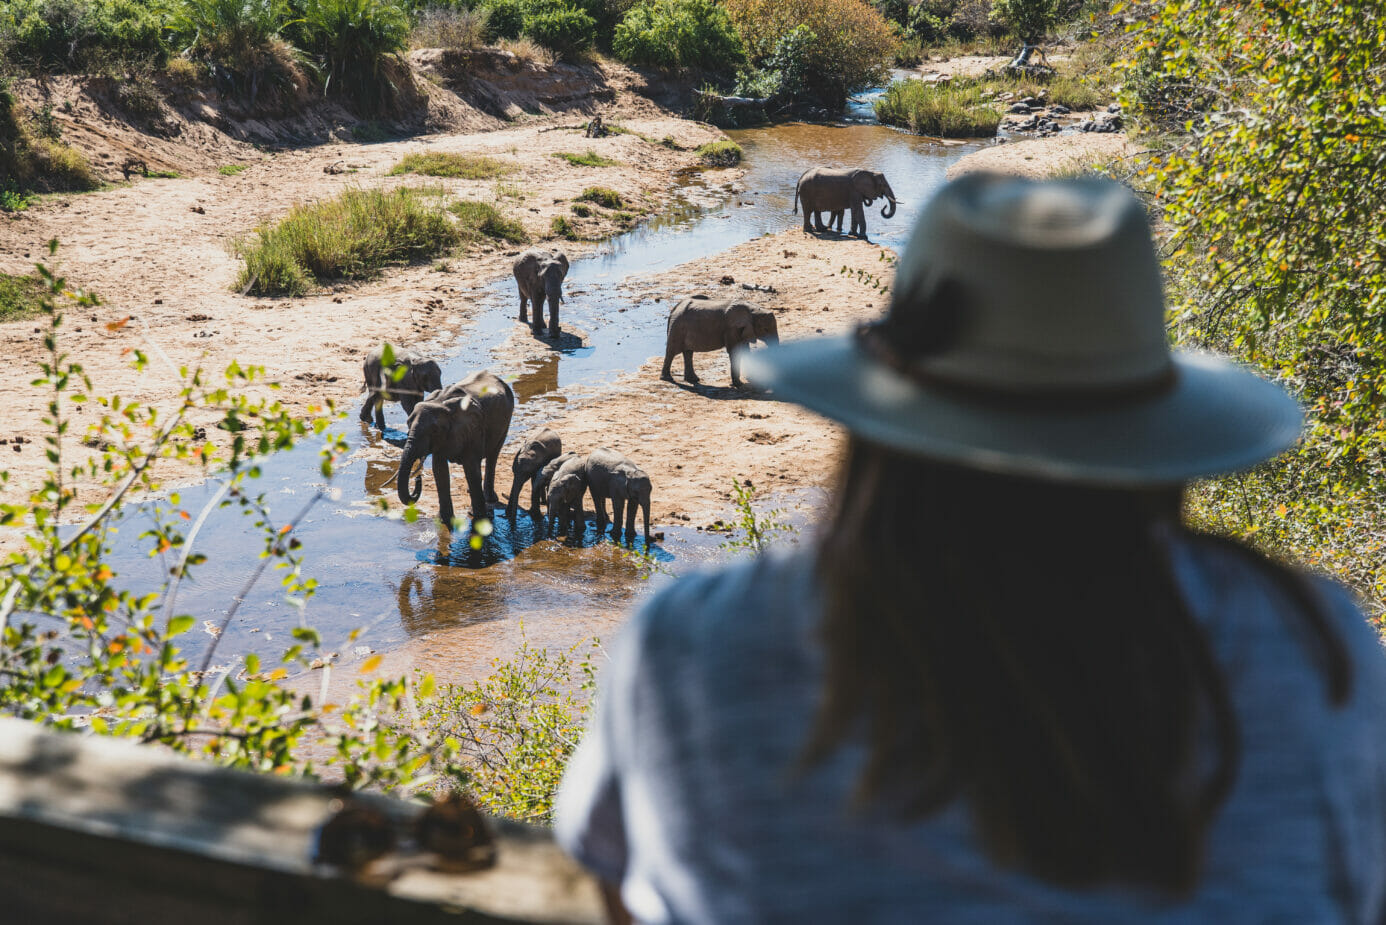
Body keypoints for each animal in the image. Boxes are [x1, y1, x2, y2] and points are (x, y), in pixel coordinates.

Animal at [396, 370, 515, 529]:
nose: (417, 476)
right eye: (408, 423)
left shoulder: (472, 428)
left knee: (493, 455)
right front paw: (444, 520)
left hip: (506, 420)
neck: (440, 404)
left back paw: (488, 501)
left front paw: (479, 520)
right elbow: (439, 470)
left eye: (434, 430)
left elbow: (471, 469)